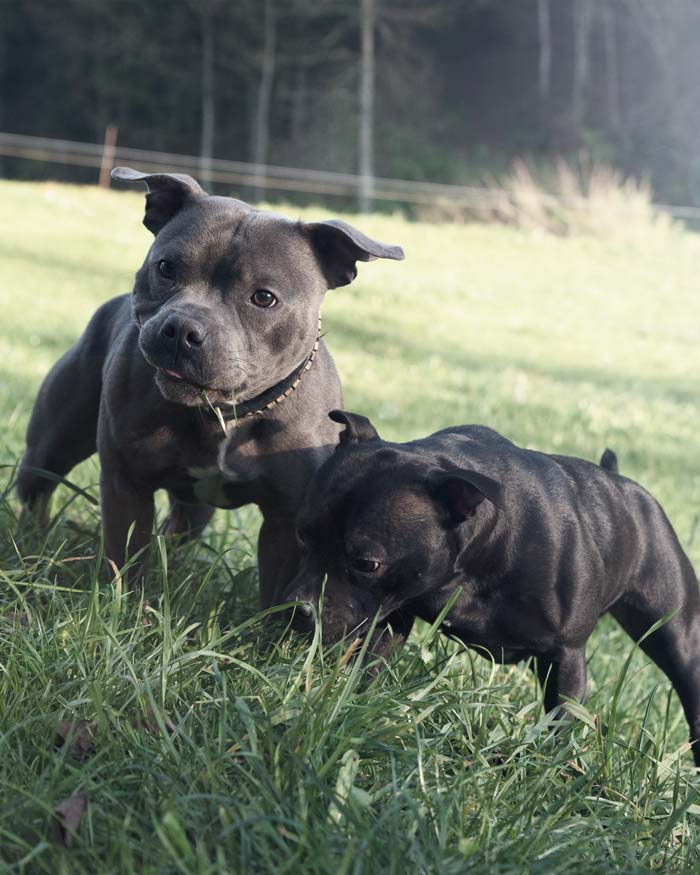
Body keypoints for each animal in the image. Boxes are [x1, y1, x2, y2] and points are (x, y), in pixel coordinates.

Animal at [16, 171, 404, 608]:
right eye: (166, 267)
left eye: (264, 298)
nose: (182, 329)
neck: (225, 412)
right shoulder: (126, 485)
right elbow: (127, 557)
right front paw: (128, 606)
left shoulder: (285, 519)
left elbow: (275, 591)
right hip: (53, 444)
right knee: (37, 487)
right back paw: (31, 543)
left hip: (194, 507)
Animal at [284, 414, 700, 764]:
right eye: (301, 535)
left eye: (367, 563)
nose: (297, 607)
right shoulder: (390, 617)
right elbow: (371, 669)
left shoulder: (566, 655)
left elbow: (561, 721)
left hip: (677, 637)